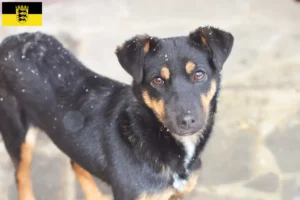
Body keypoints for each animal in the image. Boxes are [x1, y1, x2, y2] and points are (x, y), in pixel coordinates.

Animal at [0, 25, 234, 199]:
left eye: (199, 74)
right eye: (157, 80)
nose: (187, 121)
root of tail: (11, 40)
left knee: (75, 162)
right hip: (18, 137)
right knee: (21, 177)